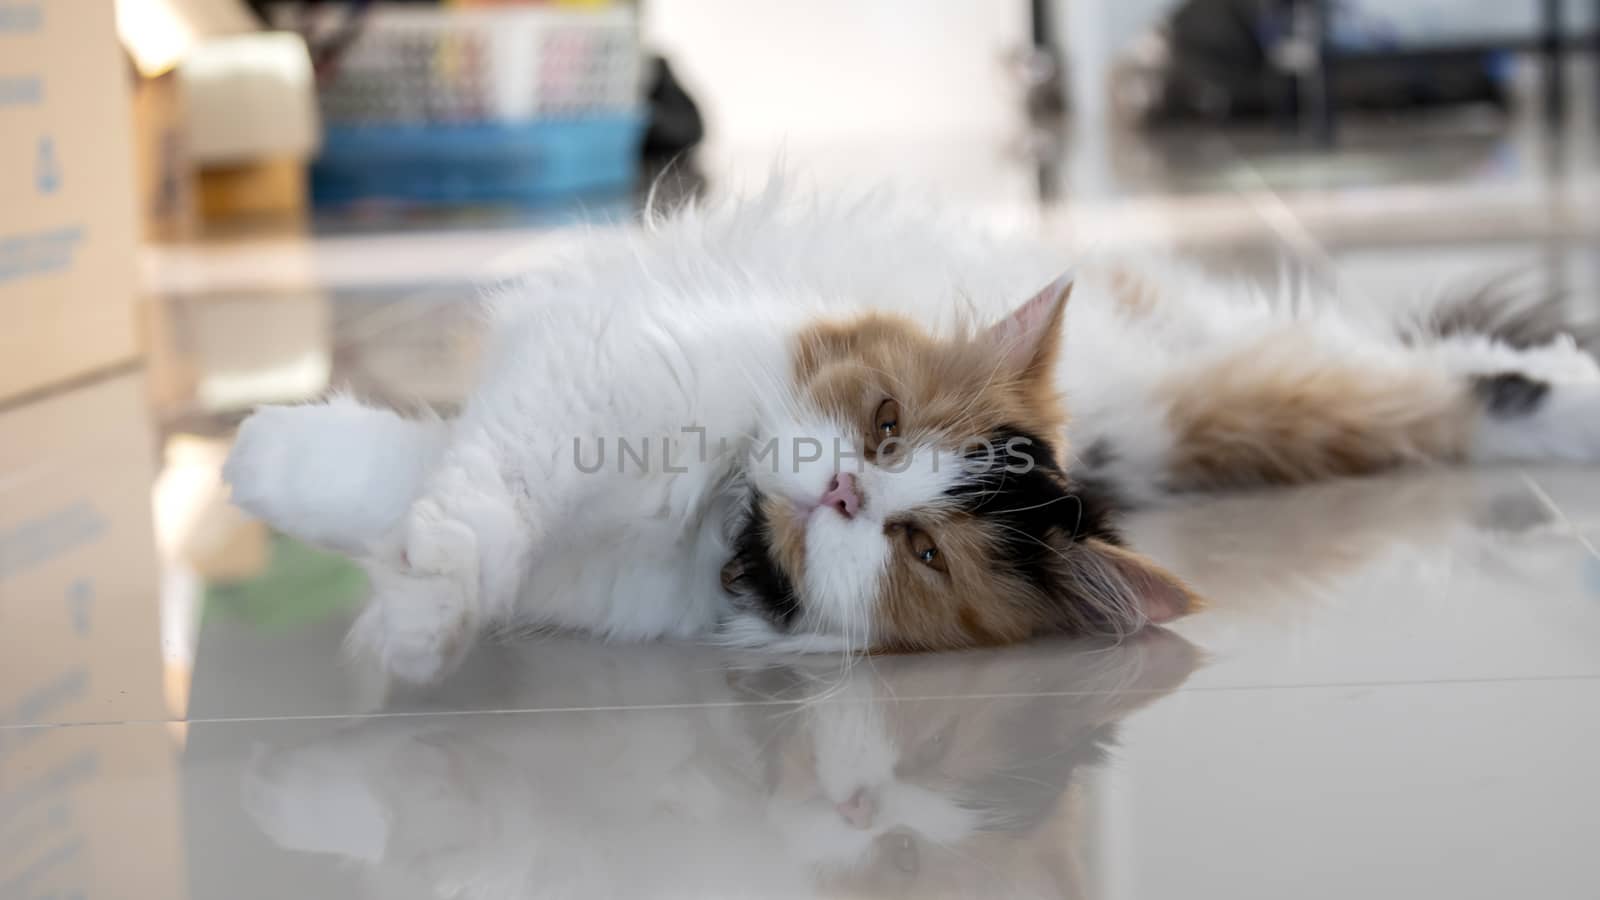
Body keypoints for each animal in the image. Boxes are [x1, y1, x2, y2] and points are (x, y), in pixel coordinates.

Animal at [222, 180, 1600, 679]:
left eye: (920, 550)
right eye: (884, 424)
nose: (842, 491)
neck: (710, 521)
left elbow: (447, 504)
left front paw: (409, 619)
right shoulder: (591, 378)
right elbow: (446, 477)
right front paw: (269, 464)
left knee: (1456, 385)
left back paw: (1571, 407)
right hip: (1205, 392)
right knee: (1433, 378)